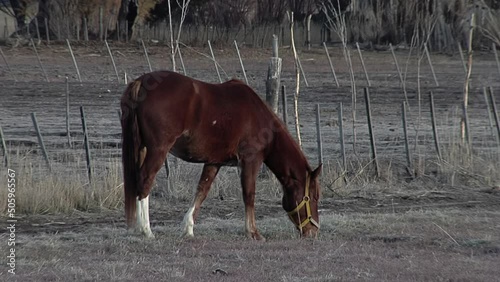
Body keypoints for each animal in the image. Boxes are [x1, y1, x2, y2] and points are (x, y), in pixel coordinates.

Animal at [122, 71, 324, 240]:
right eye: (313, 197)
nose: (313, 232)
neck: (259, 117)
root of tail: (142, 81)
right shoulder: (250, 160)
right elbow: (249, 194)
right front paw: (253, 232)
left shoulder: (214, 162)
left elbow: (202, 191)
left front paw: (188, 228)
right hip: (158, 150)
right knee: (145, 180)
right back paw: (146, 230)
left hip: (143, 149)